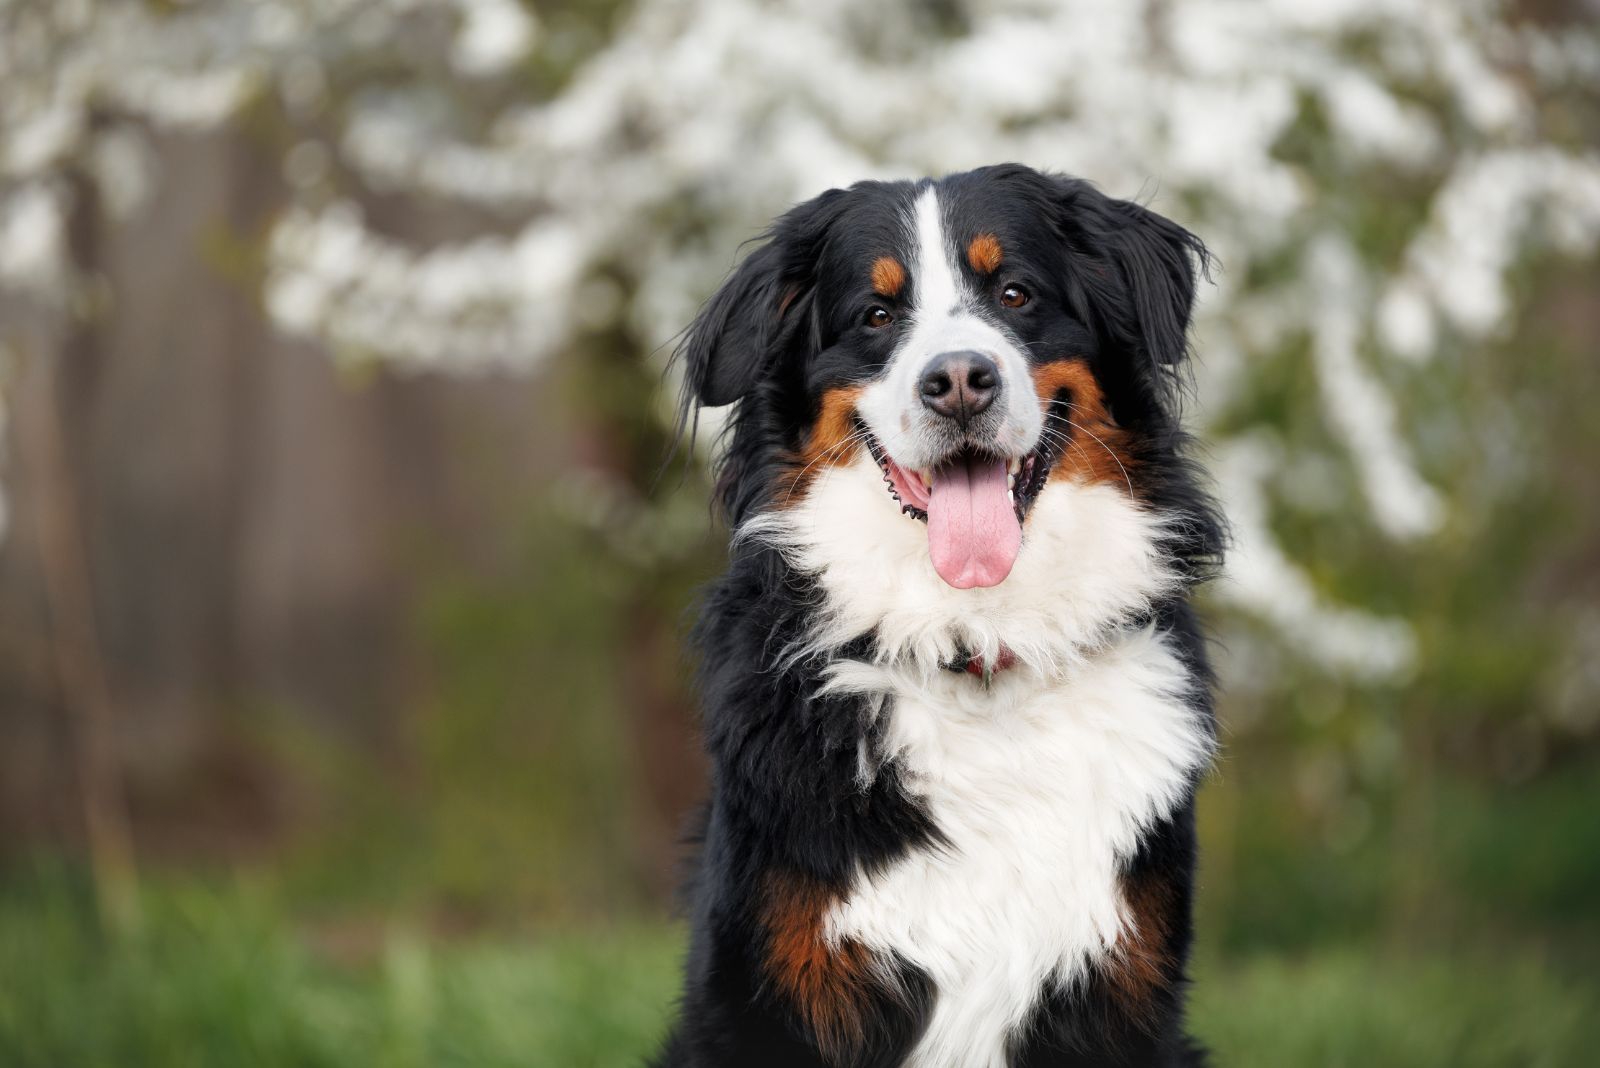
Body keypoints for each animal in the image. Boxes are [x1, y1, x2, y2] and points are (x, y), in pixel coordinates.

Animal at [649, 160, 1222, 1068]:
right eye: (877, 315)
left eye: (1016, 294)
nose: (957, 381)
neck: (974, 643)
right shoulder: (773, 991)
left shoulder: (1122, 988)